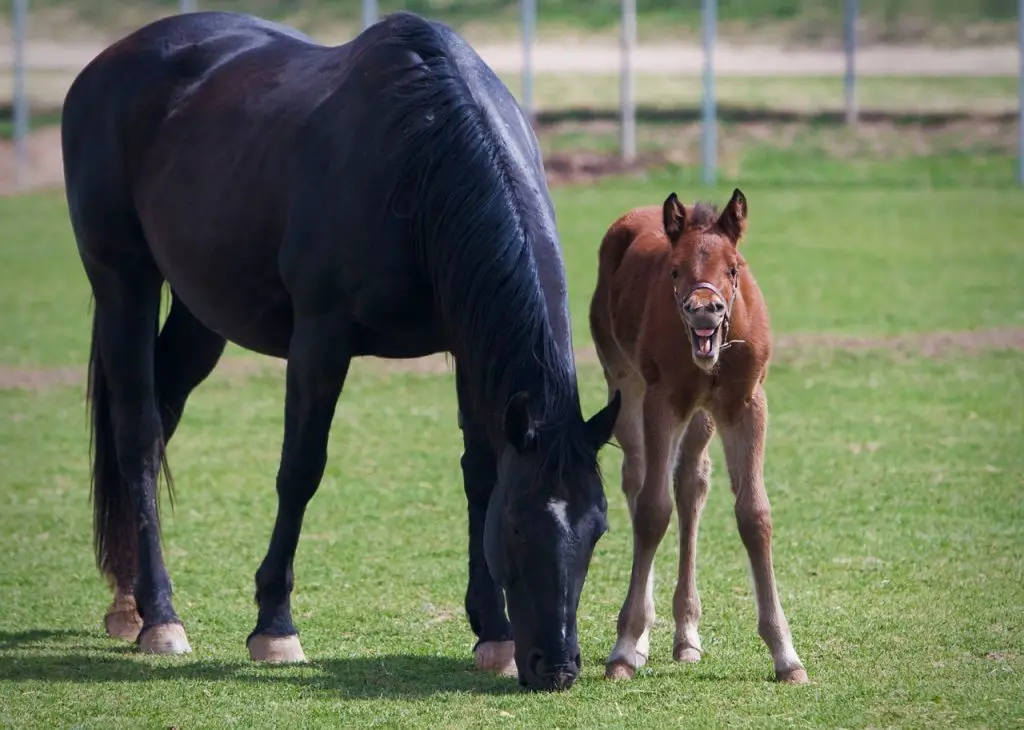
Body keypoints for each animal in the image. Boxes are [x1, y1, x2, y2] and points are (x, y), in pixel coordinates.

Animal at [66, 12, 622, 696]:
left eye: (598, 527)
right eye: (518, 525)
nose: (558, 668)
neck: (419, 158)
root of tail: (108, 62)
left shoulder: (469, 347)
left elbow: (479, 473)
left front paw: (492, 632)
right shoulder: (320, 340)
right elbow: (300, 469)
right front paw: (274, 627)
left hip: (201, 314)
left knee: (161, 413)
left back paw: (128, 603)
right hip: (123, 280)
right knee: (139, 435)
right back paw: (161, 617)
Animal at [593, 188, 806, 683]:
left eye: (733, 267)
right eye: (675, 269)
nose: (705, 310)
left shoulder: (746, 404)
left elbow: (754, 515)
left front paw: (785, 654)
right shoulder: (662, 401)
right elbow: (652, 512)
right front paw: (624, 647)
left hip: (703, 419)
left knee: (691, 483)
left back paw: (686, 634)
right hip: (625, 384)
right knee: (638, 480)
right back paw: (643, 638)